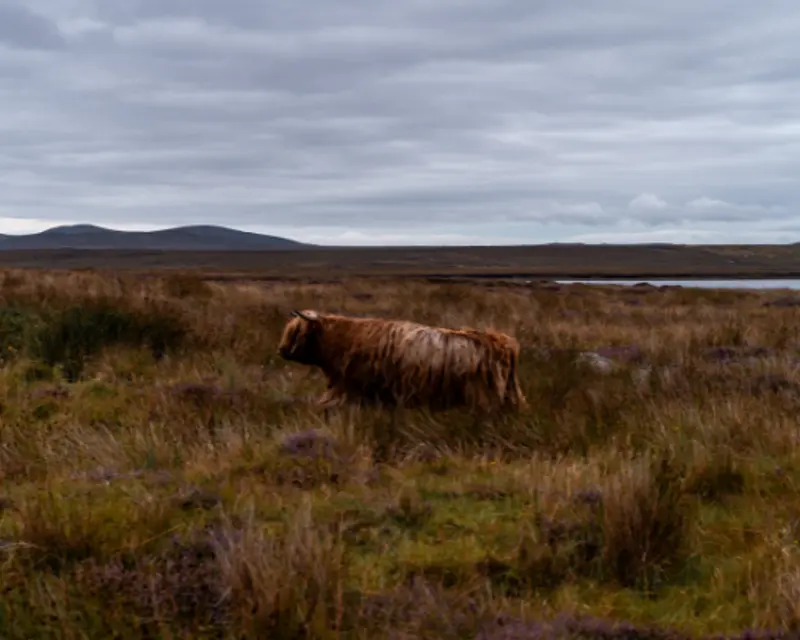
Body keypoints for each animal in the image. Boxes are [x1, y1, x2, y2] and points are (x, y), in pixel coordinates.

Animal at [277, 309, 528, 415]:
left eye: (297, 332)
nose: (281, 350)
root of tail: (503, 343)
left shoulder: (352, 389)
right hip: (509, 393)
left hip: (482, 397)